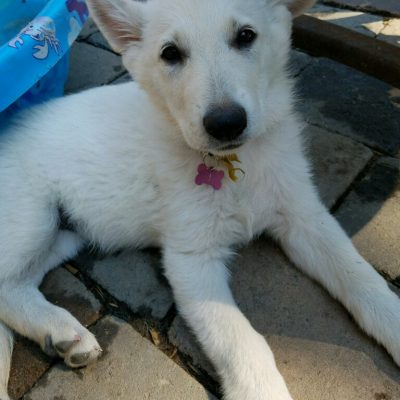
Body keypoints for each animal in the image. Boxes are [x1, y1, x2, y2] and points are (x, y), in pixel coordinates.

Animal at [0, 0, 398, 400]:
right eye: (170, 53)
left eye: (245, 36)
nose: (226, 123)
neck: (234, 166)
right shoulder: (191, 258)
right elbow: (242, 341)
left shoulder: (304, 216)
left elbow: (359, 275)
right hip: (31, 220)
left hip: (63, 234)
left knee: (11, 289)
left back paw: (63, 334)